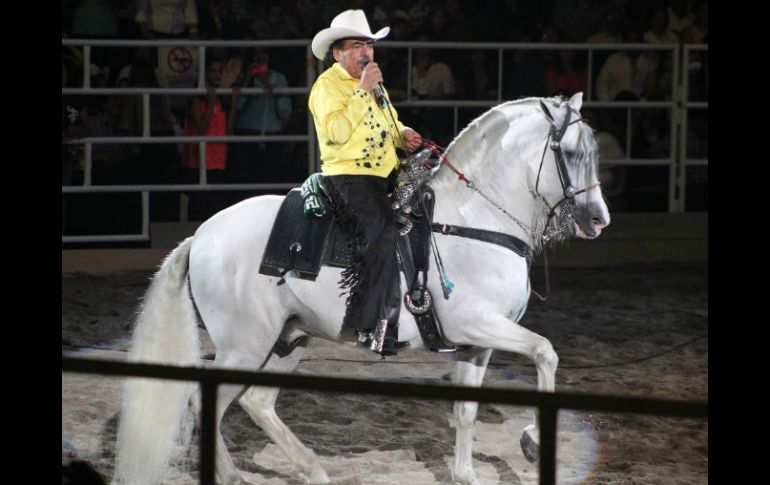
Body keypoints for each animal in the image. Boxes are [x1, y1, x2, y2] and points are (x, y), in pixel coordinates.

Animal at [112, 92, 608, 482]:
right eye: (568, 152)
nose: (599, 220)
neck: (471, 221)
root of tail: (200, 236)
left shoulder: (478, 342)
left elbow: (467, 410)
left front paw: (466, 474)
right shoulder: (477, 324)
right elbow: (545, 352)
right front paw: (532, 441)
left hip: (288, 339)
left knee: (258, 403)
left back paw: (312, 470)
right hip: (245, 346)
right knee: (206, 403)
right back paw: (235, 477)